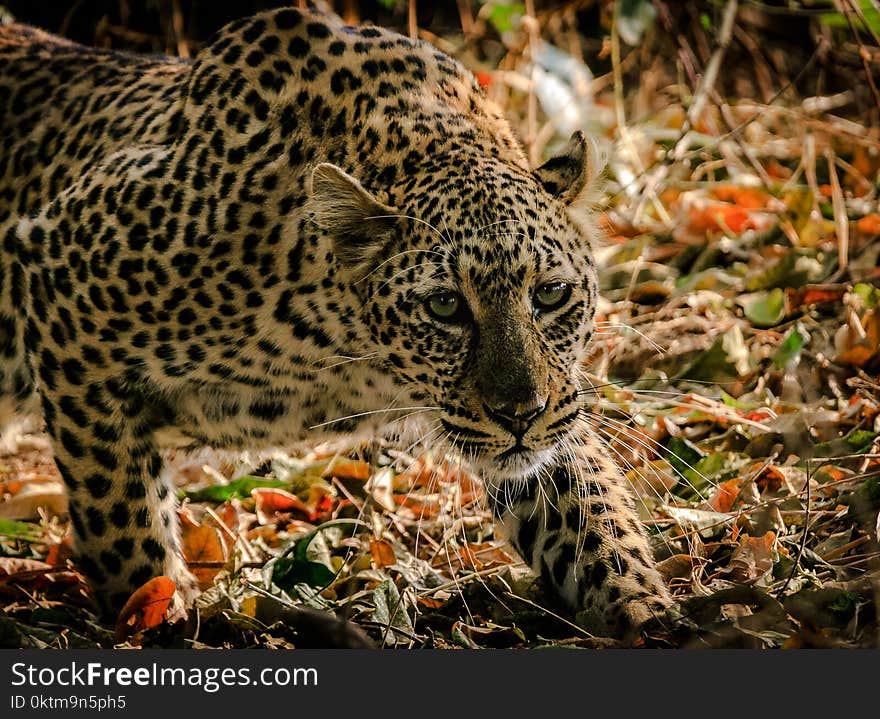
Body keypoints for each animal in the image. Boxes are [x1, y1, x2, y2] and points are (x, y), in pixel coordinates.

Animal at [0, 7, 672, 640]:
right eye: (445, 306)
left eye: (551, 294)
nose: (519, 415)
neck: (353, 350)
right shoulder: (62, 280)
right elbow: (121, 513)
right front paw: (155, 617)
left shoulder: (551, 411)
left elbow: (590, 517)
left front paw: (649, 614)